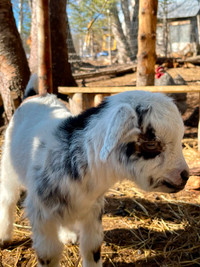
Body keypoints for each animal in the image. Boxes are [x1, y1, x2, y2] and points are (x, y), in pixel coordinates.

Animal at [0, 75, 189, 266]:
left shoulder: (93, 209)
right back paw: (4, 237)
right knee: (8, 198)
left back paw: (68, 235)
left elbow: (92, 247)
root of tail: (34, 96)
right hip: (9, 163)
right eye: (151, 143)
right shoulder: (42, 214)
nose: (185, 175)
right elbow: (49, 254)